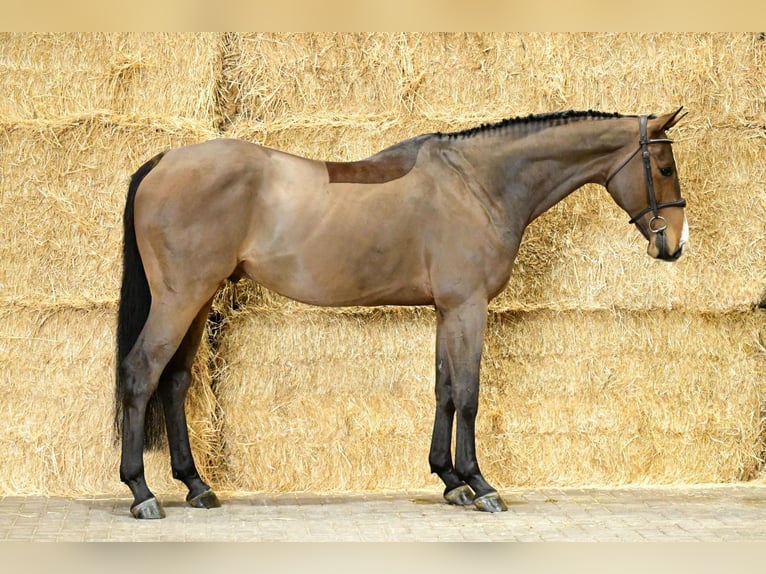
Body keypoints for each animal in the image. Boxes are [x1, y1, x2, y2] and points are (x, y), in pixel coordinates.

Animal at [115, 108, 688, 519]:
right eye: (663, 167)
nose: (674, 246)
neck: (477, 184)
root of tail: (165, 161)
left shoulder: (446, 311)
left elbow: (444, 390)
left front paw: (450, 480)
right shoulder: (467, 307)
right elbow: (469, 394)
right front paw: (480, 484)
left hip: (199, 298)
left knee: (175, 380)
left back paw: (196, 486)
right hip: (181, 297)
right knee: (141, 373)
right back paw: (142, 491)